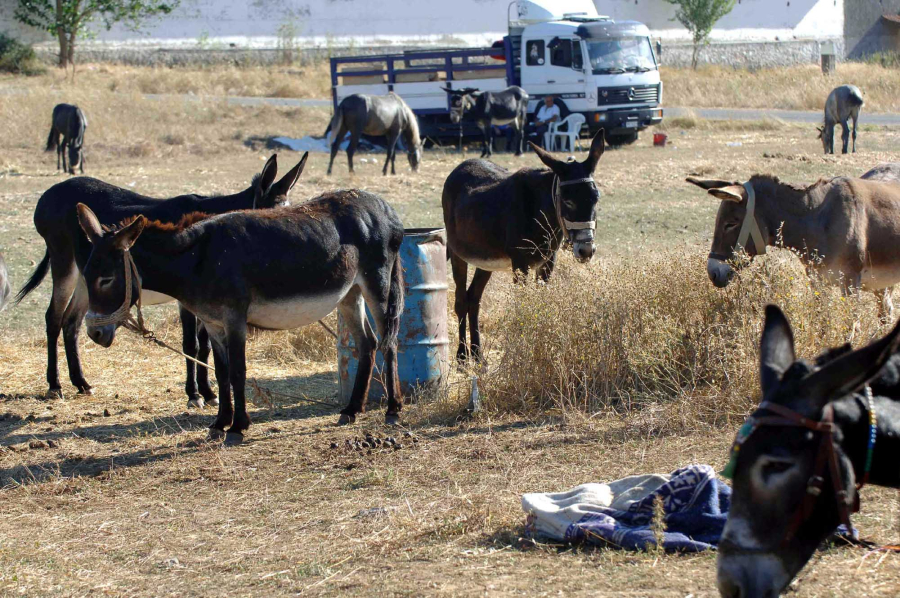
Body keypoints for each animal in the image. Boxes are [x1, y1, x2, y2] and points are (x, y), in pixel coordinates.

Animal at [14, 156, 302, 408]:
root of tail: (49, 193)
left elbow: (206, 345)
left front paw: (208, 393)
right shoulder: (187, 298)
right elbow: (191, 344)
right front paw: (194, 395)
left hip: (88, 283)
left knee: (71, 322)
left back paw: (81, 383)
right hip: (64, 263)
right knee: (53, 318)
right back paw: (55, 386)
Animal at [75, 188, 406, 446]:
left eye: (106, 279)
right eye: (86, 275)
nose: (94, 333)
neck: (198, 260)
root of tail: (386, 208)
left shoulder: (234, 318)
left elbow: (238, 371)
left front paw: (237, 427)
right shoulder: (213, 322)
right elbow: (221, 373)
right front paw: (219, 423)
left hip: (376, 283)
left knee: (388, 342)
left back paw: (392, 409)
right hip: (349, 293)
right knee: (367, 342)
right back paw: (351, 410)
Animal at [688, 164, 900, 316]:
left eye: (731, 223)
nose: (712, 273)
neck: (817, 218)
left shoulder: (849, 282)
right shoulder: (817, 281)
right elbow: (822, 321)